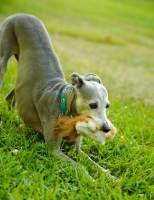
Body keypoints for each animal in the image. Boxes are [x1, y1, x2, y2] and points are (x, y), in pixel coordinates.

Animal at [0, 14, 115, 178]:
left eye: (107, 106)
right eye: (93, 105)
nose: (106, 128)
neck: (65, 105)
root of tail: (21, 14)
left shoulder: (76, 149)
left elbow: (94, 164)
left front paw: (111, 177)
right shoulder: (53, 150)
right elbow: (81, 168)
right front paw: (92, 180)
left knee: (11, 96)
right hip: (3, 58)